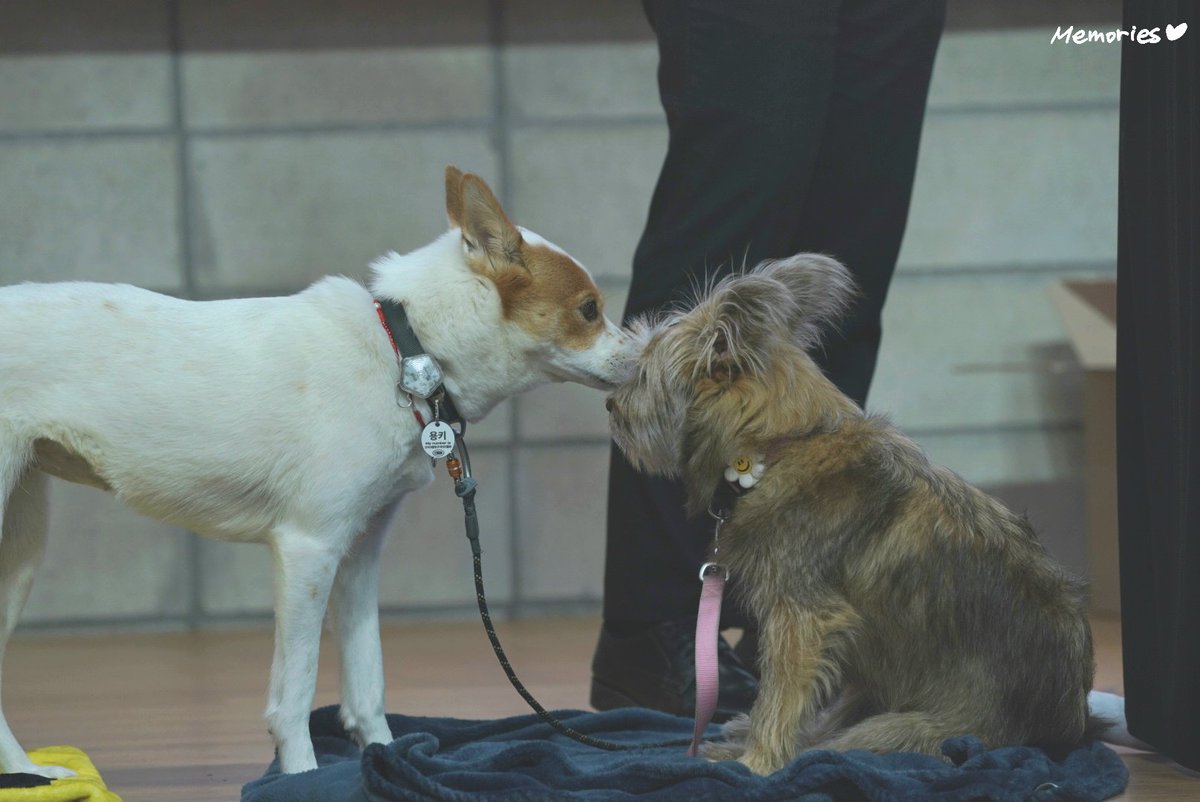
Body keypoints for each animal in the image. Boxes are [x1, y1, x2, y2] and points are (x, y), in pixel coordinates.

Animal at [0, 164, 633, 777]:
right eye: (589, 309)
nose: (643, 352)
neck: (404, 349)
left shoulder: (358, 554)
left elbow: (367, 681)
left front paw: (385, 756)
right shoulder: (309, 549)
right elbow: (296, 692)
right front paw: (303, 773)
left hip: (21, 547)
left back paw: (32, 771)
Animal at [604, 253, 1099, 773]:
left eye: (642, 373)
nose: (611, 405)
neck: (783, 443)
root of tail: (1070, 725)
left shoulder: (801, 619)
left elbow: (779, 699)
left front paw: (756, 764)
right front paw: (749, 751)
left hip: (901, 729)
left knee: (835, 742)